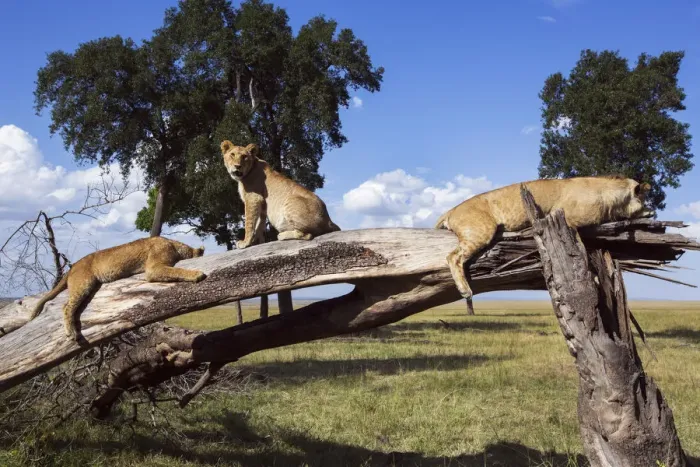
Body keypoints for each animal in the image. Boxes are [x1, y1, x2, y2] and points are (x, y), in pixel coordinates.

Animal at [30, 237, 207, 341]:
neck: (175, 244)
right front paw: (197, 274)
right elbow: (176, 270)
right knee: (66, 306)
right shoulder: (154, 267)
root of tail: (74, 266)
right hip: (84, 282)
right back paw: (72, 332)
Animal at [435, 176, 654, 300]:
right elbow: (580, 248)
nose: (650, 209)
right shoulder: (568, 220)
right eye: (643, 198)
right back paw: (465, 290)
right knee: (452, 257)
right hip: (481, 230)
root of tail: (450, 210)